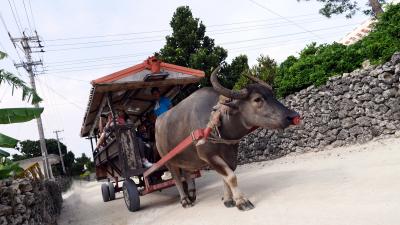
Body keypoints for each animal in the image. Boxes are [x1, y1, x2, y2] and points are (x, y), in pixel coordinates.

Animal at [155, 67, 298, 211]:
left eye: (272, 95)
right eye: (257, 99)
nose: (292, 116)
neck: (218, 121)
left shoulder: (230, 154)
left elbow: (225, 177)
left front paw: (228, 200)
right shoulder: (208, 155)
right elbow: (231, 177)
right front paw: (241, 201)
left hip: (185, 158)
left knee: (187, 173)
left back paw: (191, 194)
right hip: (169, 162)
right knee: (177, 179)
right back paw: (185, 200)